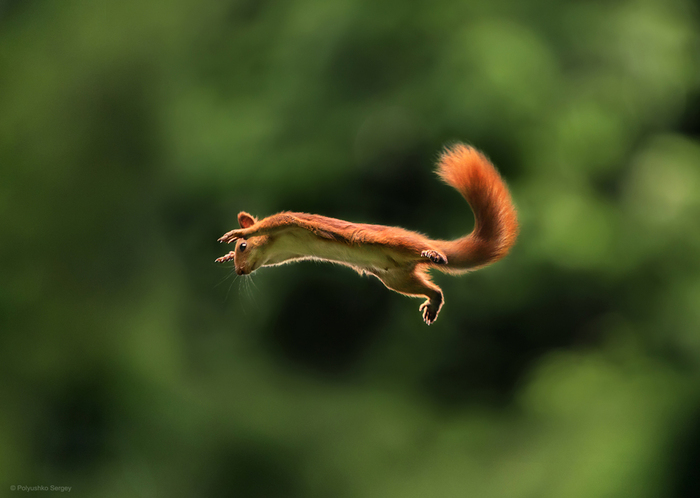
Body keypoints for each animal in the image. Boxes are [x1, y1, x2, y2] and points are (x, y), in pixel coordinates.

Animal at [216, 142, 516, 324]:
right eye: (236, 257)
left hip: (391, 243)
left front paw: (238, 232)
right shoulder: (280, 255)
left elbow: (272, 221)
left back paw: (434, 254)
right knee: (433, 288)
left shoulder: (288, 223)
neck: (275, 245)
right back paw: (433, 301)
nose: (239, 272)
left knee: (424, 253)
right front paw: (223, 257)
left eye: (243, 248)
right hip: (397, 279)